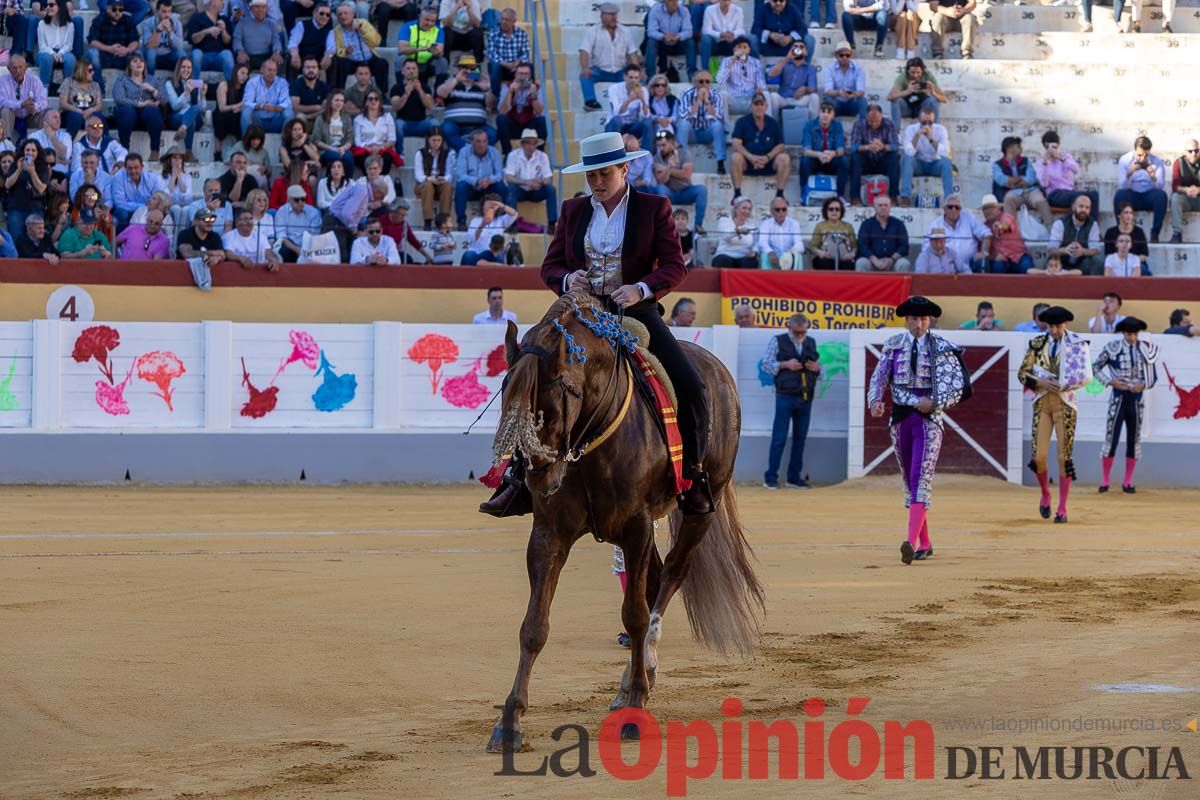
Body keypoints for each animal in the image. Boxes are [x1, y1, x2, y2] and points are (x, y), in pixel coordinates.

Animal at [482, 291, 763, 753]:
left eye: (560, 395)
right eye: (507, 396)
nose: (538, 476)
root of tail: (717, 368)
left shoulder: (636, 527)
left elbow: (634, 616)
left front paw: (634, 711)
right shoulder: (550, 534)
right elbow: (534, 626)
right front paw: (510, 723)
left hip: (700, 509)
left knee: (670, 577)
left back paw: (638, 678)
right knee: (655, 582)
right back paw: (636, 678)